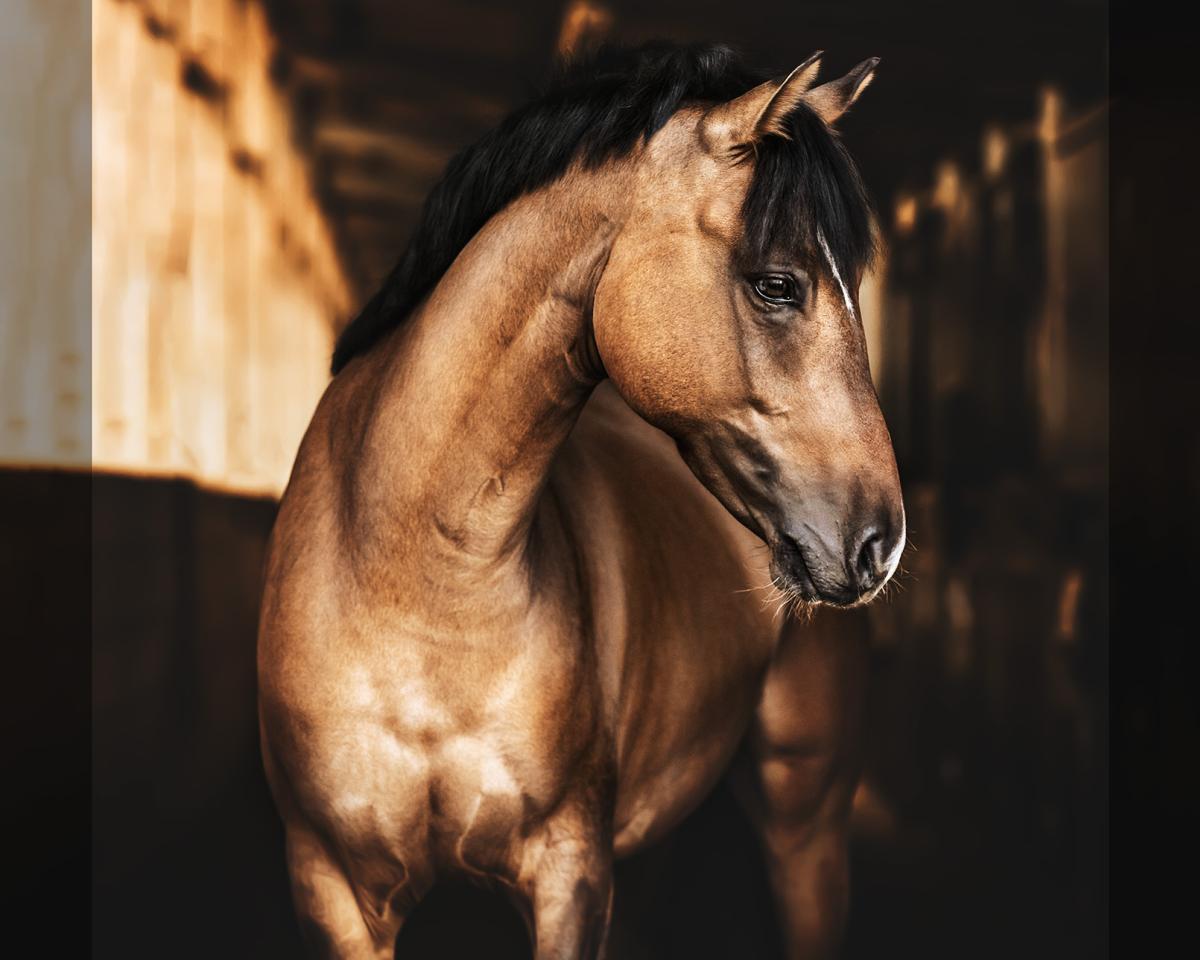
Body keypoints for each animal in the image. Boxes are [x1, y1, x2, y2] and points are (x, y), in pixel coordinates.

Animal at [257, 42, 904, 960]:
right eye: (778, 284)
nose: (879, 541)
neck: (416, 586)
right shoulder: (332, 886)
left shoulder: (570, 875)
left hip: (804, 824)